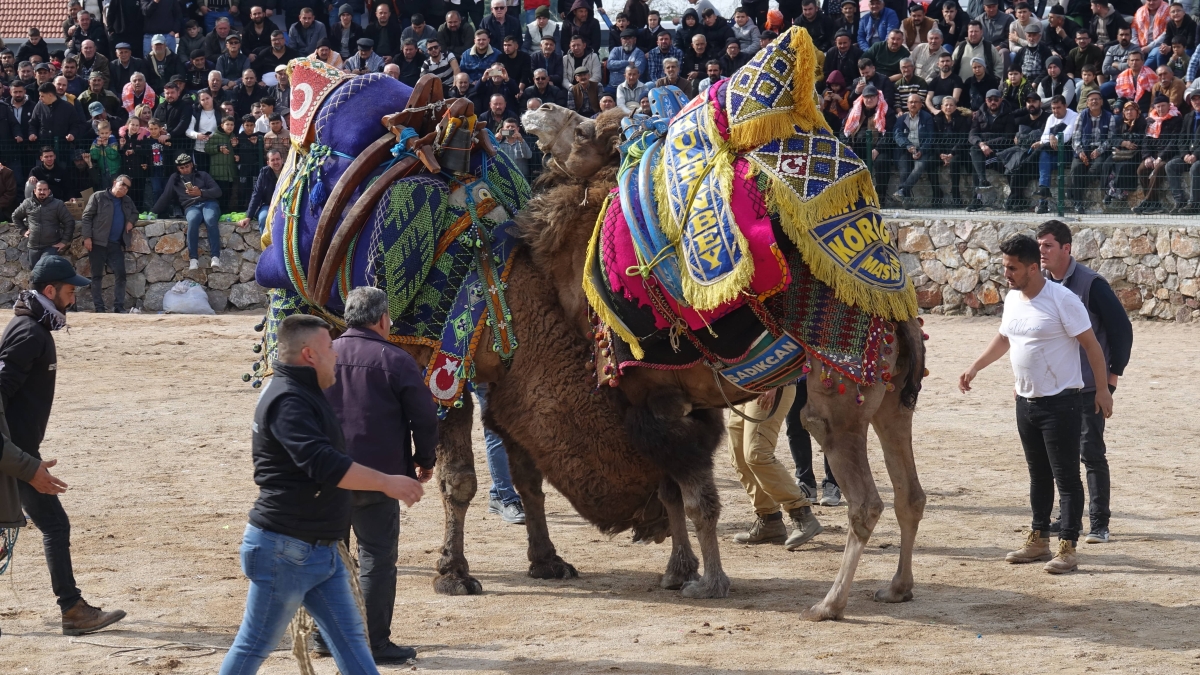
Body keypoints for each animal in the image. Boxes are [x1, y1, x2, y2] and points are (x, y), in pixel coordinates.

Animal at [412, 103, 926, 614]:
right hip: (893, 402)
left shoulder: (661, 402)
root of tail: (898, 317)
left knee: (865, 498)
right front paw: (679, 572)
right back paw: (897, 587)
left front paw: (709, 582)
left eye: (583, 130)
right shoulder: (674, 404)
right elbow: (674, 491)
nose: (537, 108)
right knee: (910, 495)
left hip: (840, 401)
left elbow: (697, 501)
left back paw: (830, 603)